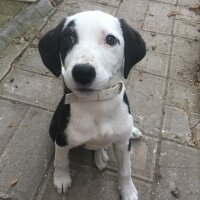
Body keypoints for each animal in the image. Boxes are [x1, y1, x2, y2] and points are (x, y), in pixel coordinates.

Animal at [38, 10, 145, 200]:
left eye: (110, 39)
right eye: (68, 38)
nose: (83, 72)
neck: (97, 103)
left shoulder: (123, 145)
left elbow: (126, 170)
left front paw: (128, 191)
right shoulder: (62, 139)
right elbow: (61, 161)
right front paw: (61, 179)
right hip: (53, 128)